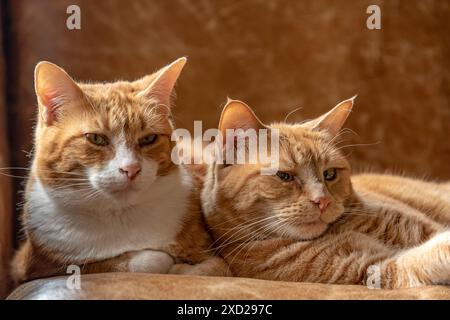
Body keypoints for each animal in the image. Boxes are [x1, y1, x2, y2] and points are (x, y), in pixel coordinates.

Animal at [11, 58, 225, 284]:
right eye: (96, 138)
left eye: (148, 139)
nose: (131, 169)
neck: (120, 214)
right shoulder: (37, 265)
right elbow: (130, 261)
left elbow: (213, 267)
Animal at [203, 98, 450, 290]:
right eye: (284, 176)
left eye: (329, 174)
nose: (322, 201)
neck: (339, 229)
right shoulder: (373, 268)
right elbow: (424, 258)